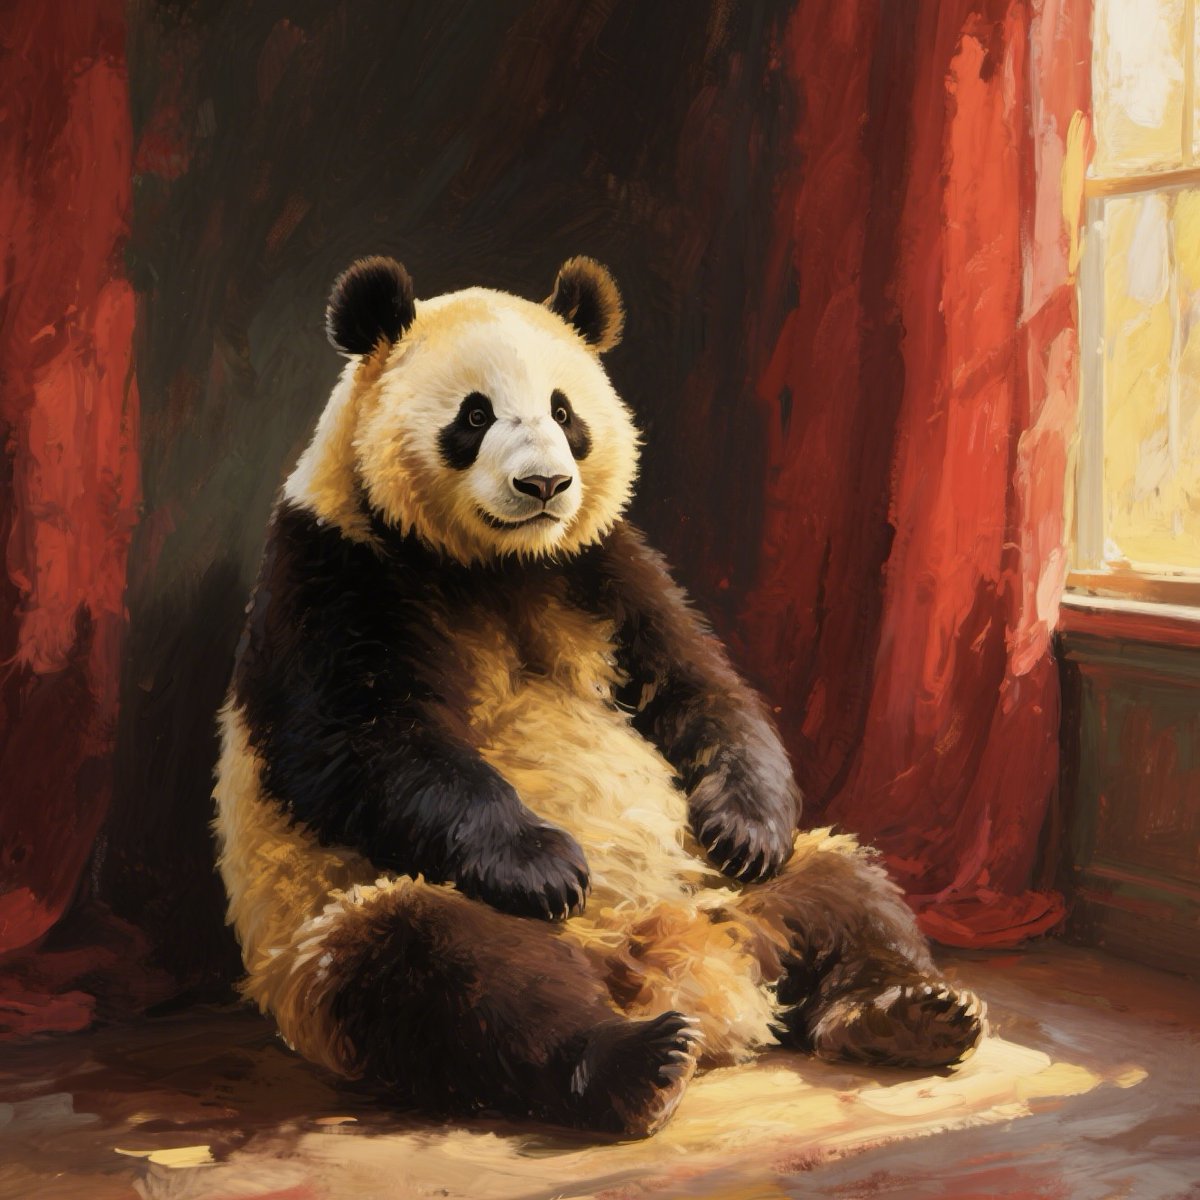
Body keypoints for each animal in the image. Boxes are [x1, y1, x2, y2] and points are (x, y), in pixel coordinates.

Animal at [213, 255, 984, 1138]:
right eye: (474, 415)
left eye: (564, 411)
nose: (546, 483)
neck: (491, 563)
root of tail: (685, 967)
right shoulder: (334, 570)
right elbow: (360, 738)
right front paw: (542, 864)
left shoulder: (602, 566)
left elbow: (698, 684)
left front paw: (745, 827)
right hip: (346, 923)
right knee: (450, 974)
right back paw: (632, 1062)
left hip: (731, 892)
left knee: (845, 892)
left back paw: (909, 1012)